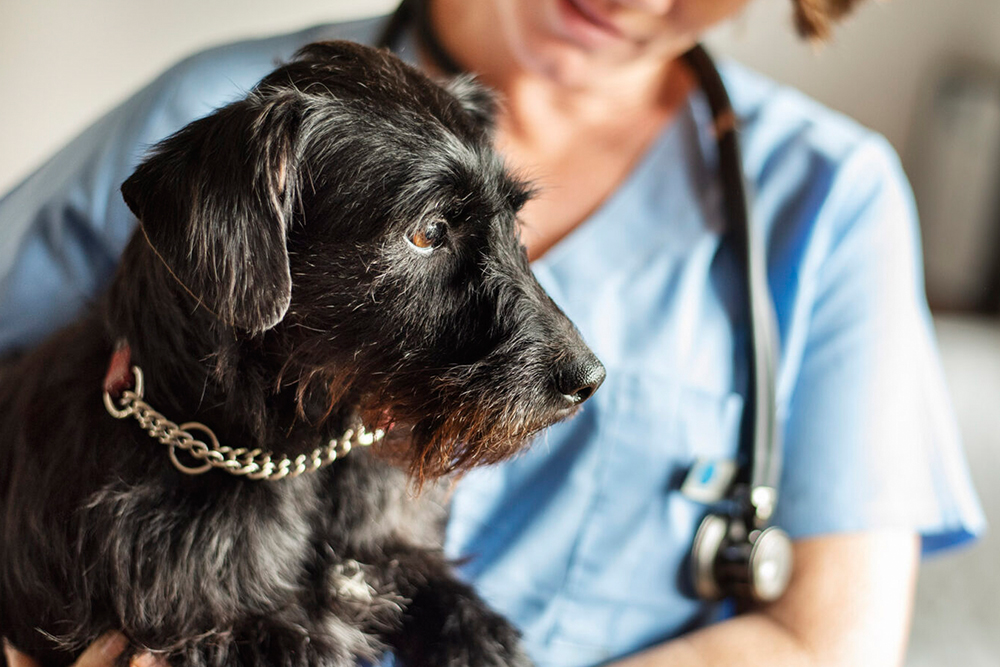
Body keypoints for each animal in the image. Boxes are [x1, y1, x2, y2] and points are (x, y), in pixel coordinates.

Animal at [0, 40, 600, 667]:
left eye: (515, 217)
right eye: (430, 232)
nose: (590, 379)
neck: (300, 458)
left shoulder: (400, 561)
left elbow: (467, 619)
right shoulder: (244, 638)